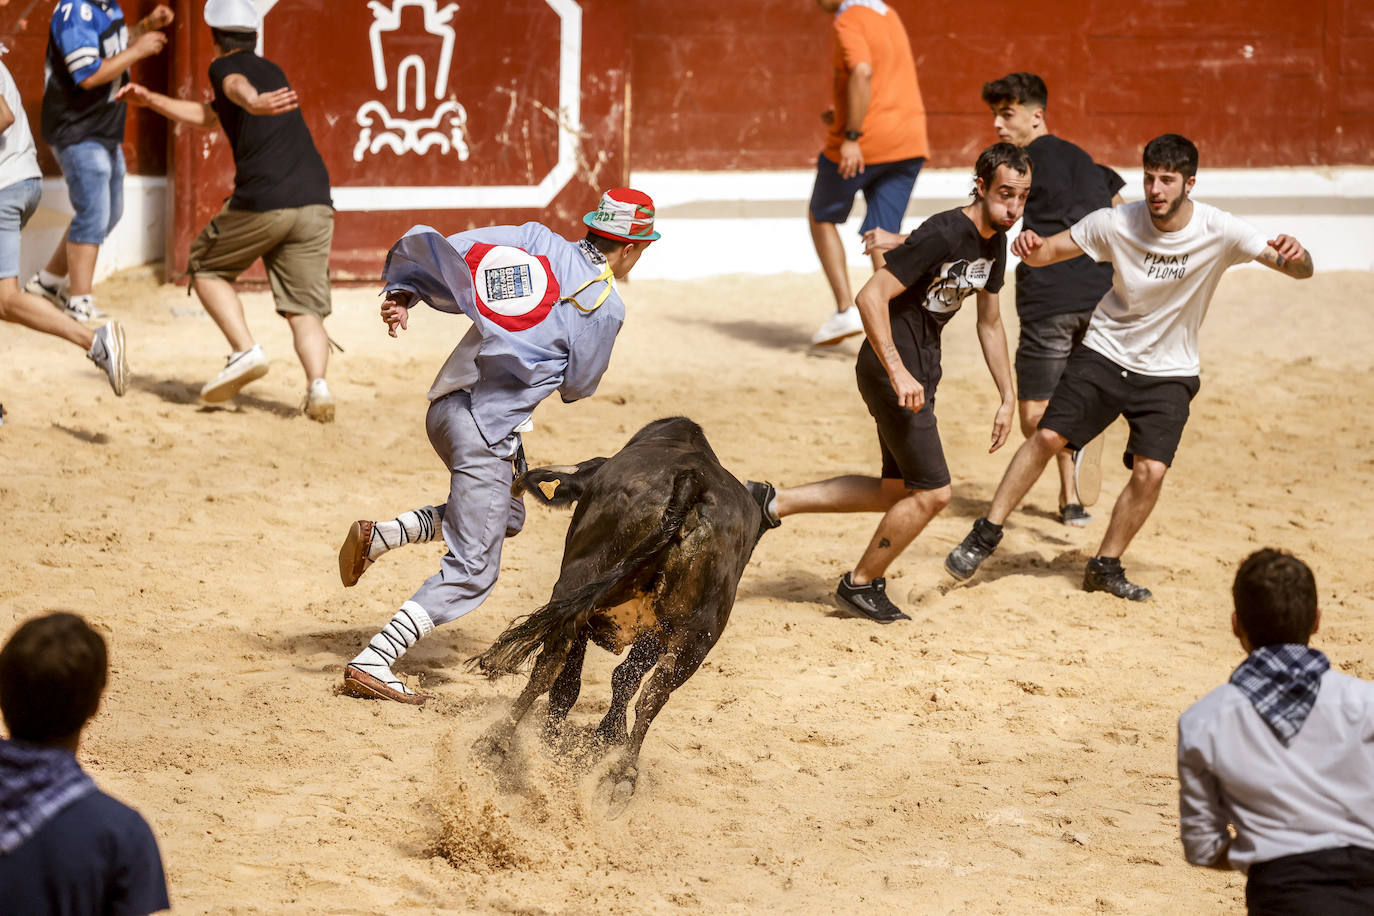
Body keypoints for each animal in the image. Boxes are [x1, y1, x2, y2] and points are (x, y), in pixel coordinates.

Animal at [467, 414, 758, 796]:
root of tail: (691, 480)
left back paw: (496, 743)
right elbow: (626, 680)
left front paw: (555, 742)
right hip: (697, 638)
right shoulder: (654, 636)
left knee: (550, 667)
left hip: (576, 586)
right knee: (654, 695)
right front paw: (606, 737)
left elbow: (569, 685)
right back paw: (622, 774)